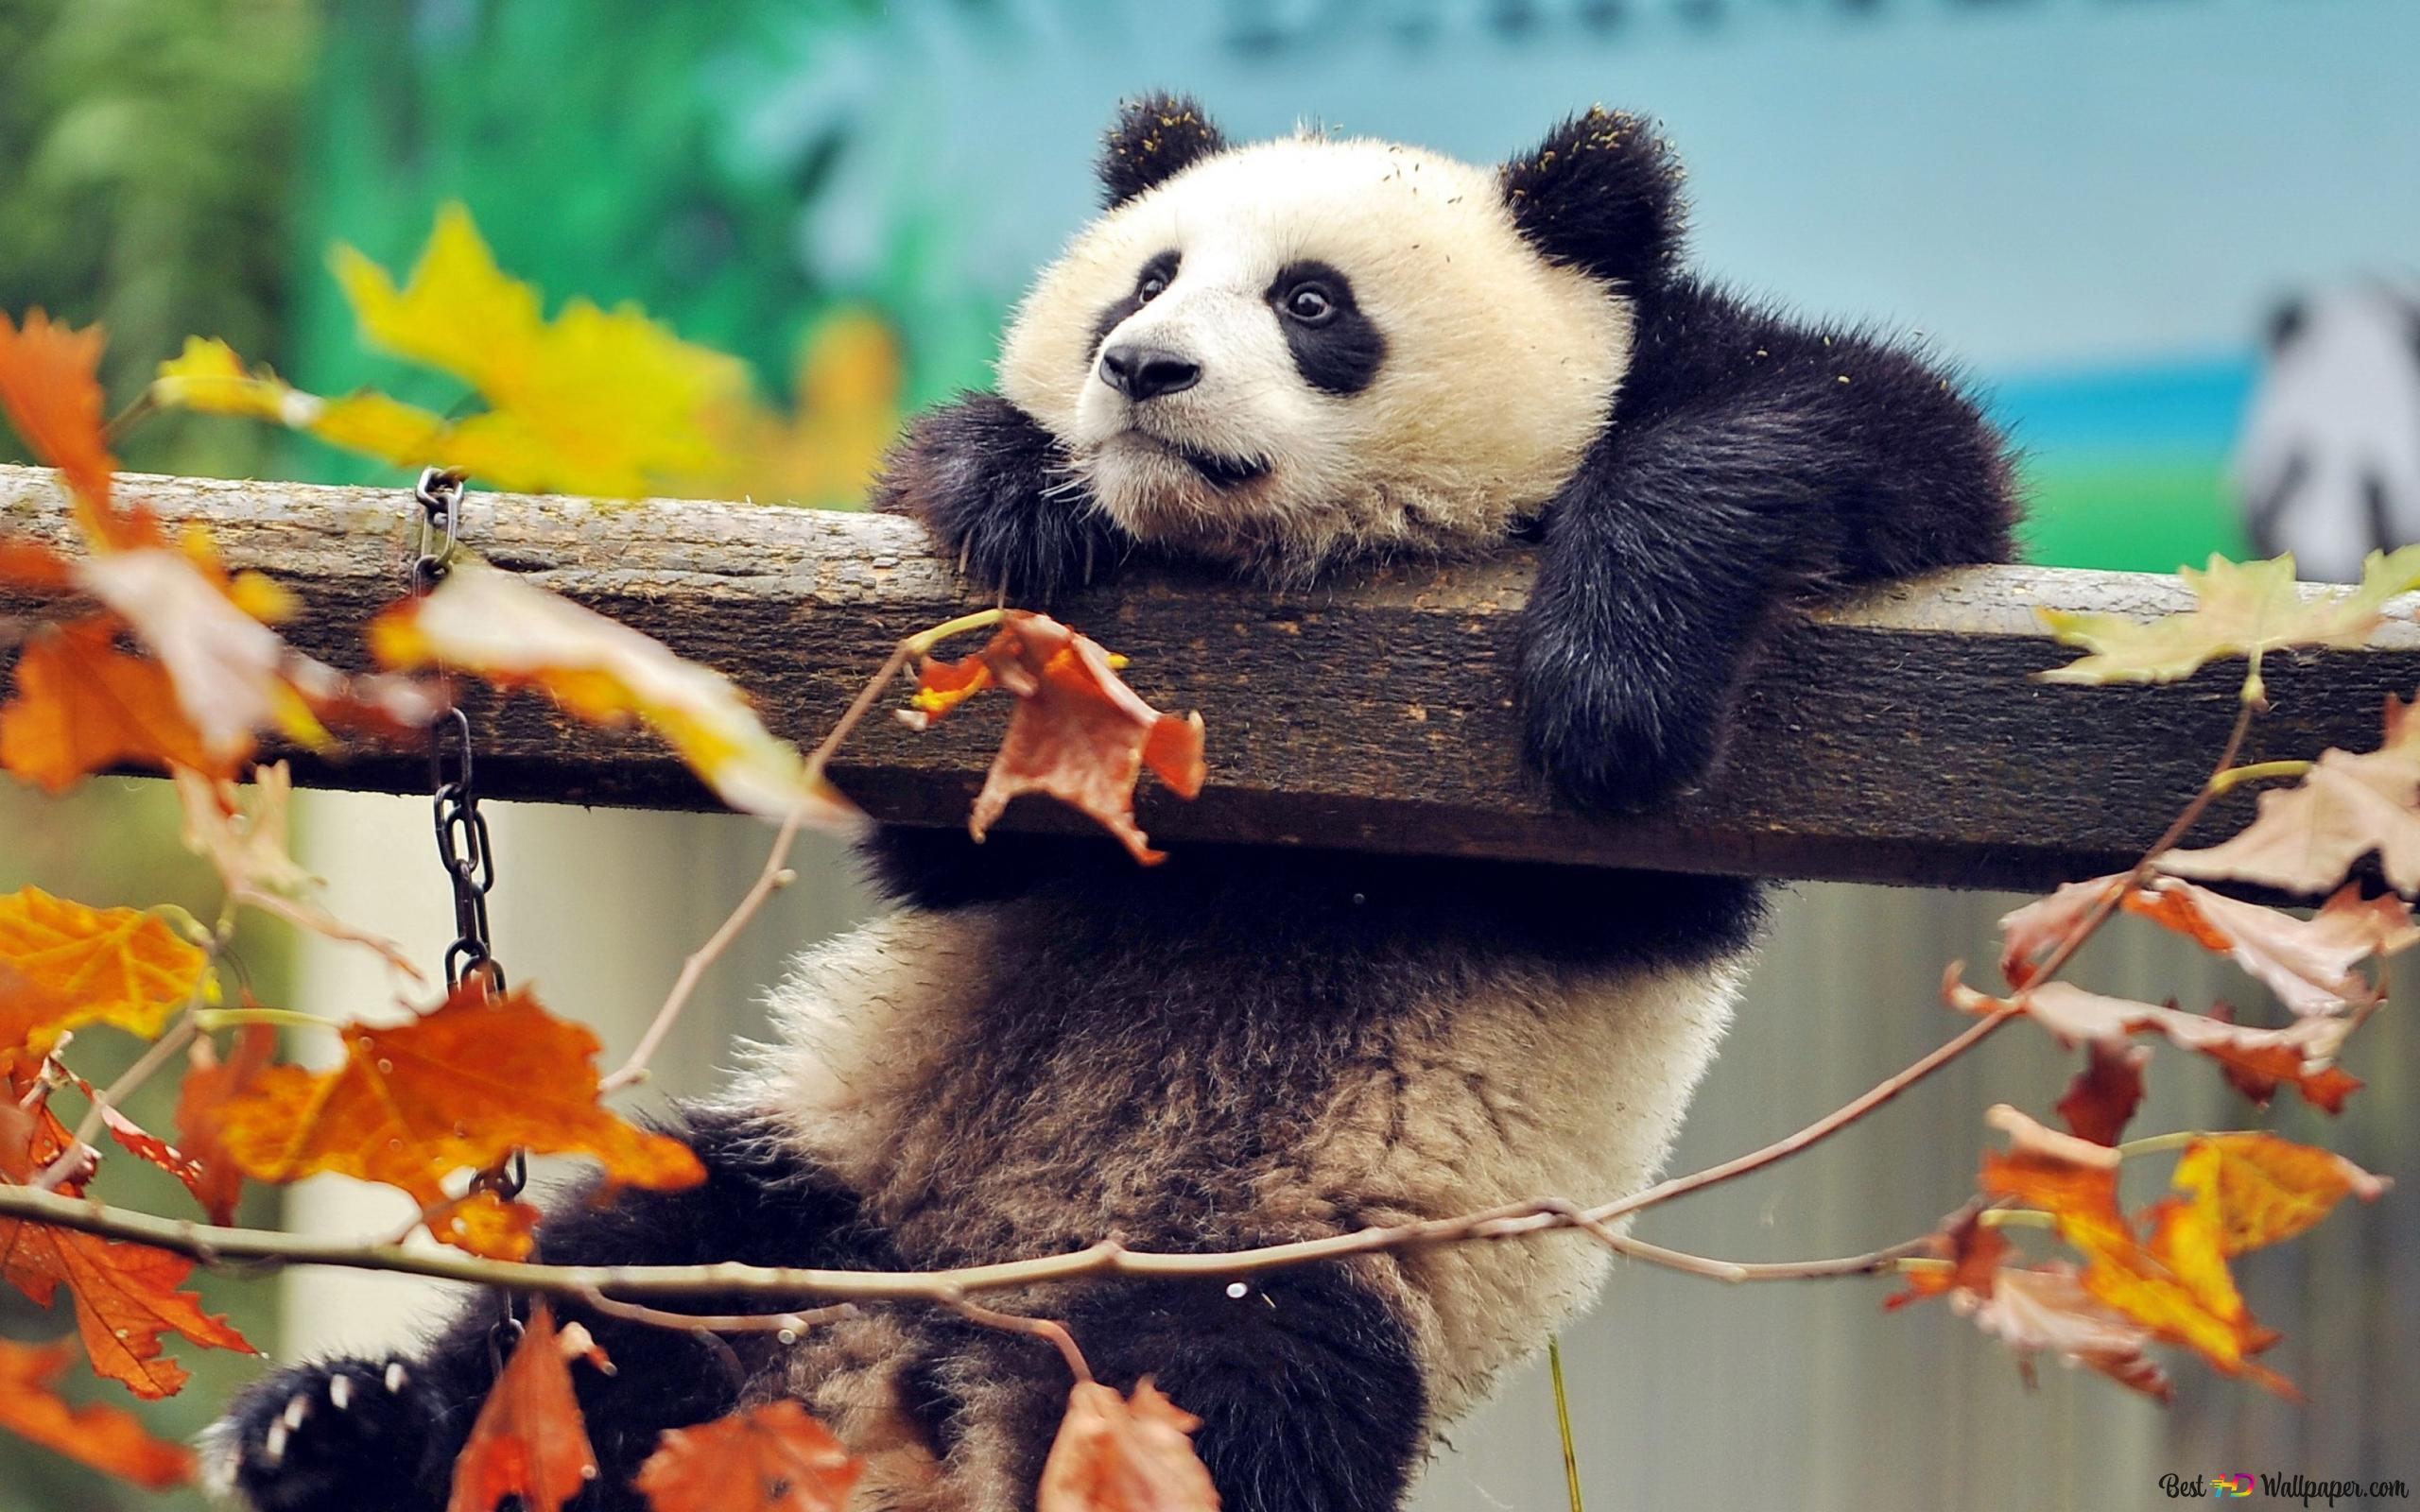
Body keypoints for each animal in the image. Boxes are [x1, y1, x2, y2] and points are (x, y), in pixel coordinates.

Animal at [211, 95, 2016, 1512]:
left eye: (1312, 302)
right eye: (1140, 281)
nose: (1143, 368)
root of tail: (919, 1373)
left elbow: (1864, 448)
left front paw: (1613, 674)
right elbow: (955, 833)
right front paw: (1016, 490)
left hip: (1293, 1270)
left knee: (1235, 1407)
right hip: (828, 1180)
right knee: (616, 1297)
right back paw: (341, 1431)